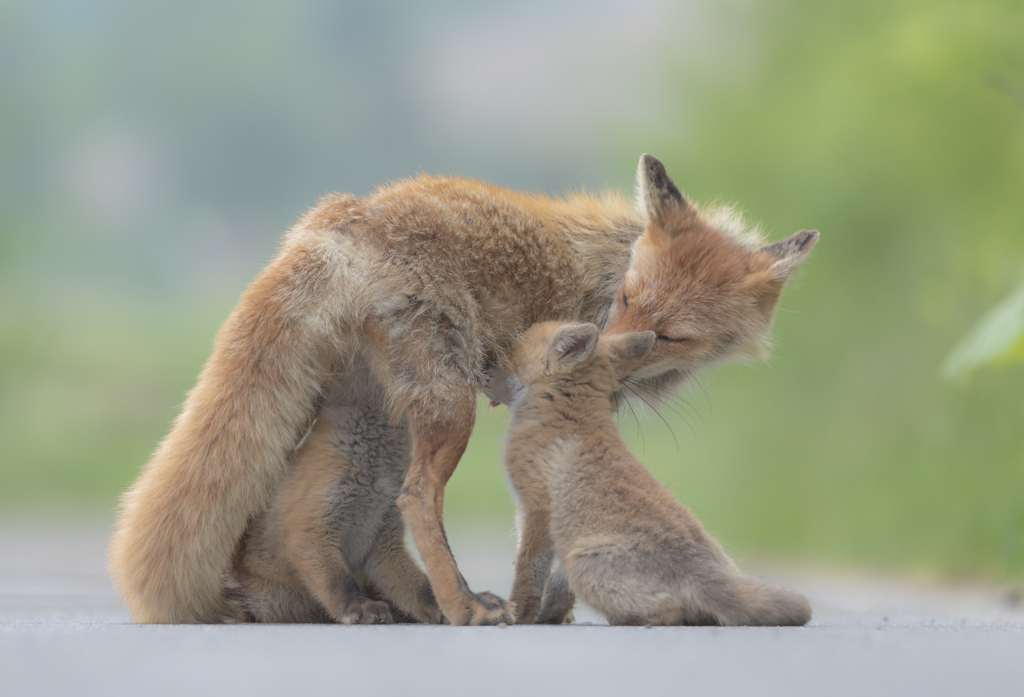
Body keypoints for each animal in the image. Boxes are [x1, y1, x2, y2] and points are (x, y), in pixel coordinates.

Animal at [110, 154, 815, 622]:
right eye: (625, 299)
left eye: (671, 334)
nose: (613, 342)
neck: (609, 264)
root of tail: (347, 212)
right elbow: (543, 540)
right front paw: (541, 612)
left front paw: (558, 612)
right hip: (450, 407)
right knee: (416, 497)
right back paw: (458, 605)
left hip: (372, 404)